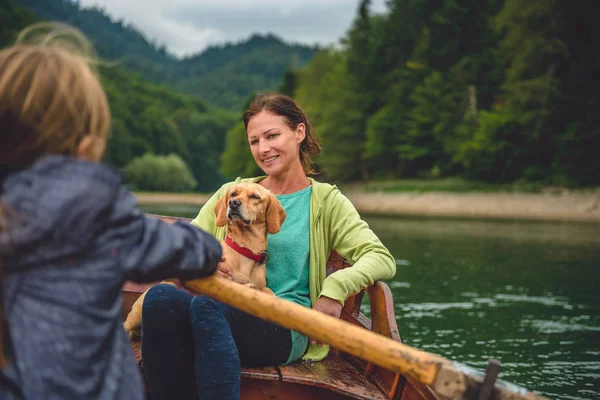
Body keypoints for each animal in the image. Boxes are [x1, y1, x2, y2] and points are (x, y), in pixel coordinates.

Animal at [122, 183, 286, 340]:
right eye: (233, 194)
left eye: (255, 196)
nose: (233, 203)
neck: (246, 249)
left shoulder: (262, 286)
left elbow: (269, 292)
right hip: (138, 312)